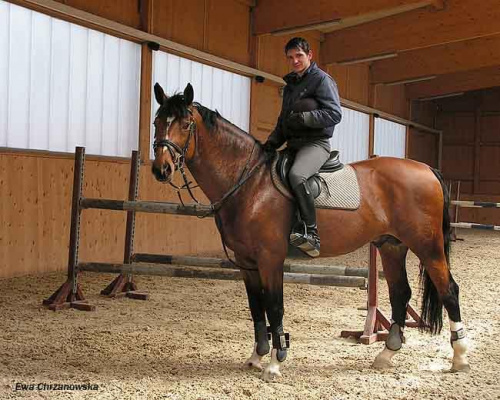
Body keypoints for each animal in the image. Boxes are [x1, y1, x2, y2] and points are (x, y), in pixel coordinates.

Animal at [151, 82, 468, 382]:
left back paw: (460, 357)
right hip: (392, 246)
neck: (250, 183)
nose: (160, 169)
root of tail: (426, 168)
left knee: (448, 291)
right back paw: (386, 354)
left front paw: (275, 363)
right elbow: (256, 308)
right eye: (157, 121)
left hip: (427, 247)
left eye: (185, 124)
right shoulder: (246, 263)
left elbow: (274, 307)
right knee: (400, 293)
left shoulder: (270, 260)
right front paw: (257, 356)